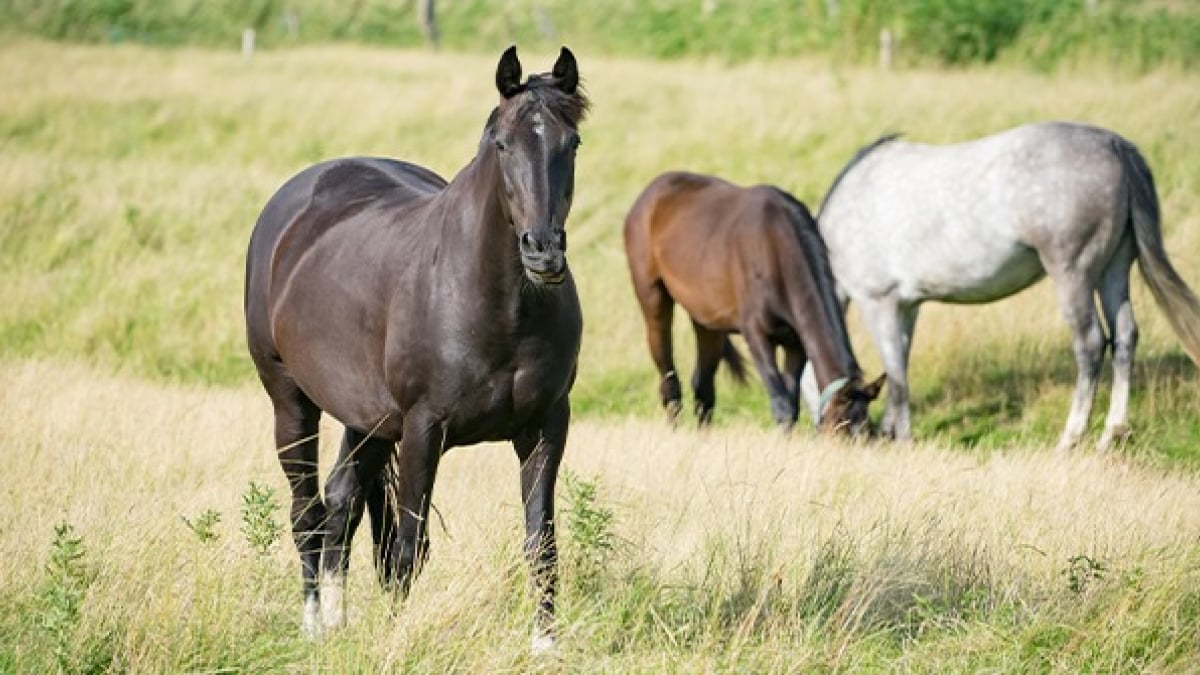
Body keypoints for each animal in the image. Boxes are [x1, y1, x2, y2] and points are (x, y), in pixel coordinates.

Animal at [241, 45, 588, 648]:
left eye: (572, 143)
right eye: (503, 145)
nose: (543, 252)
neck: (498, 308)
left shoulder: (546, 426)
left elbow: (540, 543)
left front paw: (545, 644)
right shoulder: (425, 429)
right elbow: (407, 548)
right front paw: (395, 639)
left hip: (368, 420)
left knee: (342, 500)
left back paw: (337, 618)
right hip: (290, 400)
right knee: (307, 511)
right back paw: (313, 623)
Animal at [624, 170, 888, 432]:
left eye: (867, 432)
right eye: (841, 429)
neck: (777, 249)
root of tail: (648, 195)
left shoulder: (796, 343)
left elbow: (792, 404)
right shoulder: (756, 335)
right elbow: (782, 404)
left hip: (706, 319)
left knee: (703, 385)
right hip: (653, 300)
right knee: (668, 378)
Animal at [806, 121, 1200, 451]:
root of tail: (1115, 146)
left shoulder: (878, 302)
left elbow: (898, 377)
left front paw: (901, 439)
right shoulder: (907, 307)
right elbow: (899, 362)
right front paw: (891, 429)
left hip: (1073, 274)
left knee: (1090, 345)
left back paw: (1069, 439)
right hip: (1114, 271)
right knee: (1124, 338)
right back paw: (1111, 435)